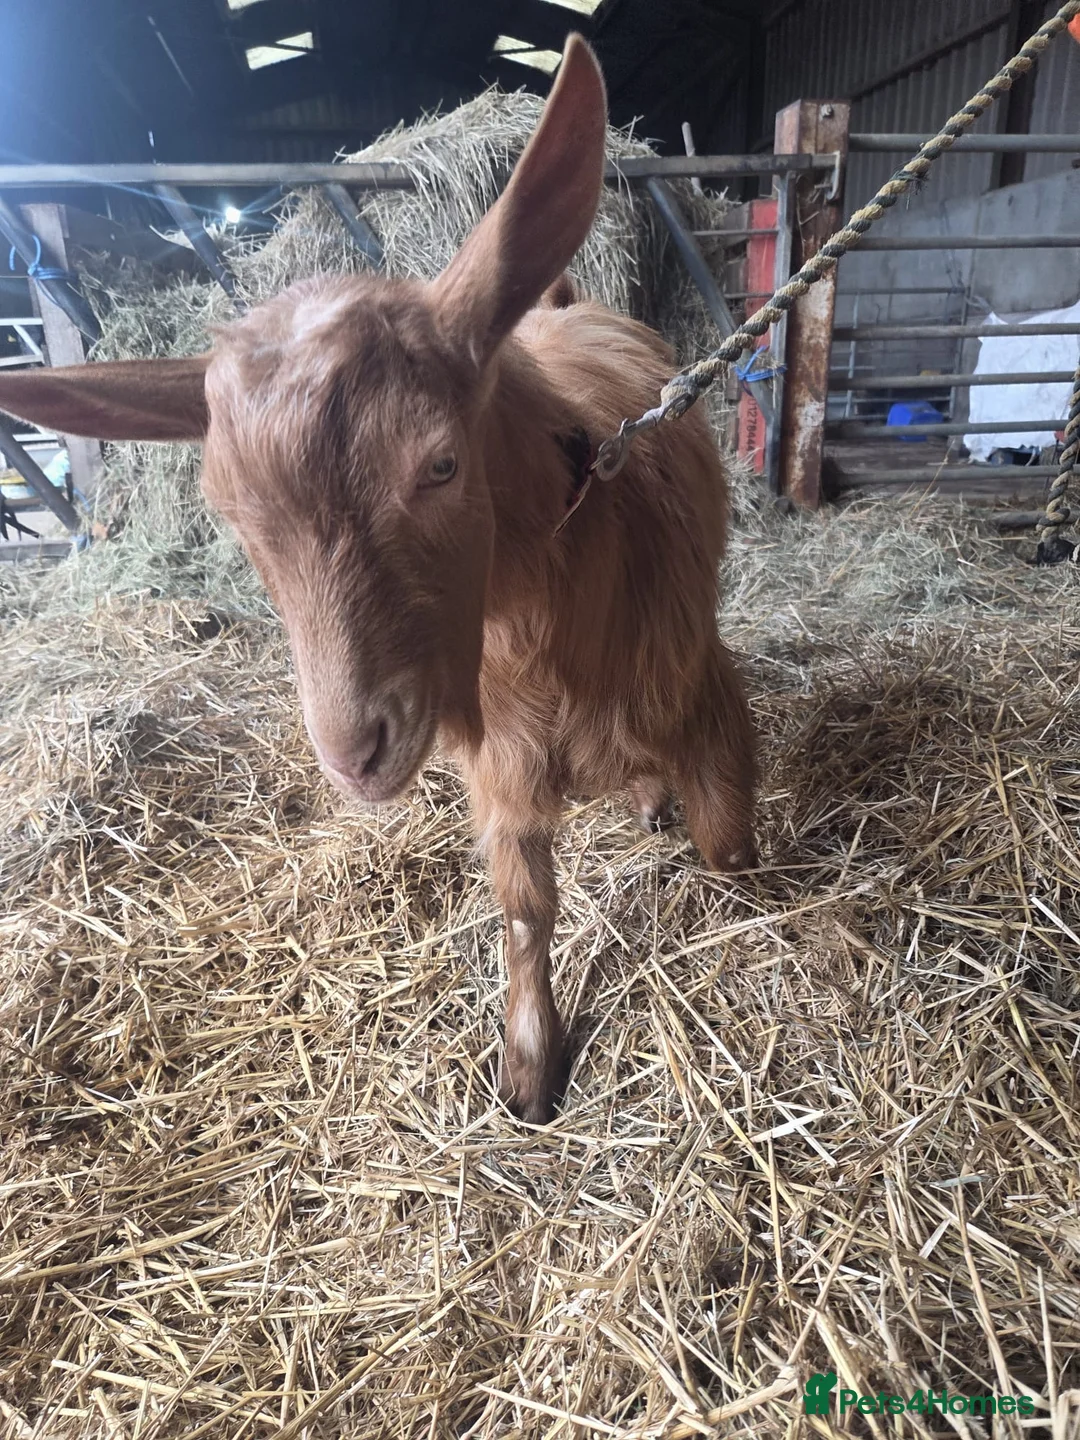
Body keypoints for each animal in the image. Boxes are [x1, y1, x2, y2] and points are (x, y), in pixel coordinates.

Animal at [0, 35, 757, 1124]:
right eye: (228, 513)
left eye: (439, 464)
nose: (353, 751)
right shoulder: (502, 768)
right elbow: (524, 907)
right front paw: (529, 1070)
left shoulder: (704, 689)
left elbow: (728, 845)